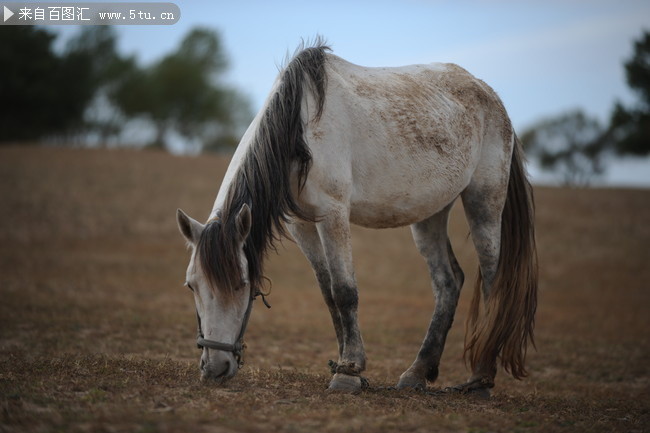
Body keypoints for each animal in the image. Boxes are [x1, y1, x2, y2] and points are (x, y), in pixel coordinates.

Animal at [175, 41, 536, 394]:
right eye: (191, 285)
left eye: (241, 284)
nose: (215, 368)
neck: (298, 130)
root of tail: (490, 95)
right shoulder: (301, 225)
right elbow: (328, 293)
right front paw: (345, 365)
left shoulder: (333, 214)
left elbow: (345, 292)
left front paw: (348, 374)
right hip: (430, 213)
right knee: (448, 283)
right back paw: (416, 374)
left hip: (483, 203)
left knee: (492, 280)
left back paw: (480, 378)